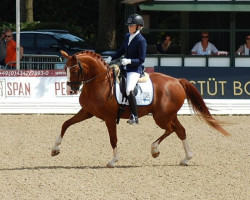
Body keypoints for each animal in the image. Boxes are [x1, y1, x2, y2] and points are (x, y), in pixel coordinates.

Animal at [51, 50, 230, 167]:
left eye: (75, 69)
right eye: (65, 69)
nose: (70, 90)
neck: (98, 83)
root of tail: (177, 81)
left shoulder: (109, 118)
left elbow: (113, 139)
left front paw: (113, 161)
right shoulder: (87, 112)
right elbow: (65, 124)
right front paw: (55, 149)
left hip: (161, 117)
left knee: (172, 129)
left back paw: (155, 150)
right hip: (169, 115)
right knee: (180, 130)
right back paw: (185, 158)